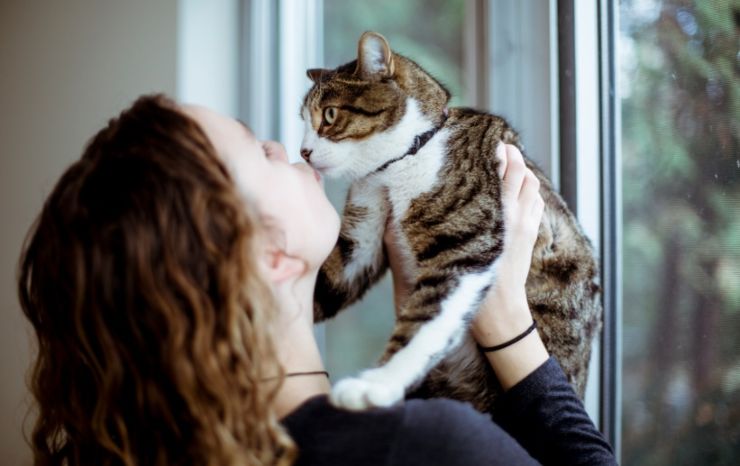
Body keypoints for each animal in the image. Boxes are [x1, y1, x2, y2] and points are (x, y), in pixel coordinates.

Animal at [300, 31, 600, 414]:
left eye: (329, 114)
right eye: (304, 119)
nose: (303, 152)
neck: (400, 164)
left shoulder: (463, 244)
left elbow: (424, 319)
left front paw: (375, 384)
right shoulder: (361, 241)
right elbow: (326, 282)